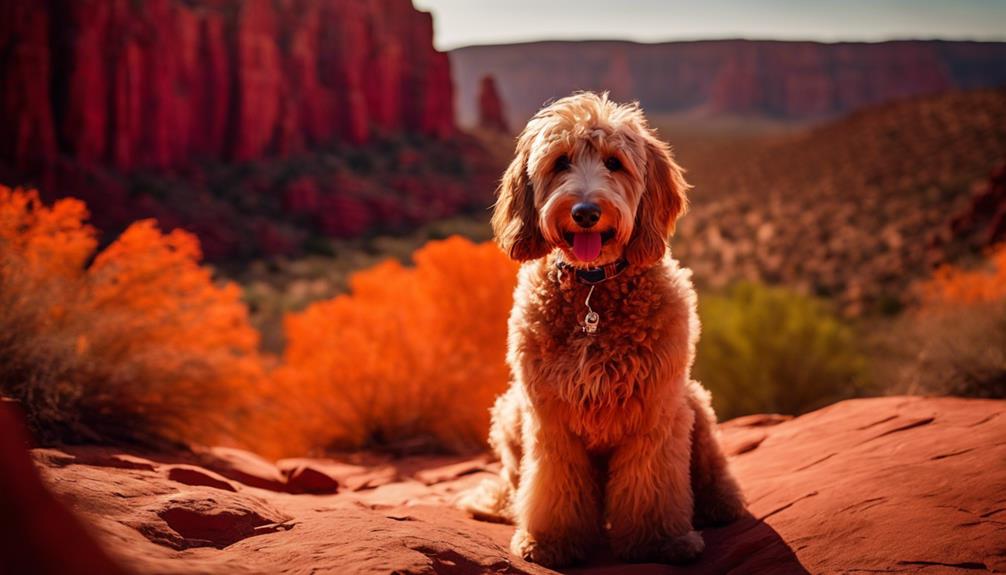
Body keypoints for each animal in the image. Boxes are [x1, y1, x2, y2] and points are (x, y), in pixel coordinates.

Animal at [462, 92, 748, 566]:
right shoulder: (550, 417)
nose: (585, 212)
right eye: (560, 162)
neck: (592, 290)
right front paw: (551, 542)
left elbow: (653, 484)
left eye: (615, 163)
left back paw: (721, 505)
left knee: (712, 469)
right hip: (509, 411)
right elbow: (553, 485)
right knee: (514, 479)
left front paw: (659, 542)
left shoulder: (655, 410)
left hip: (694, 405)